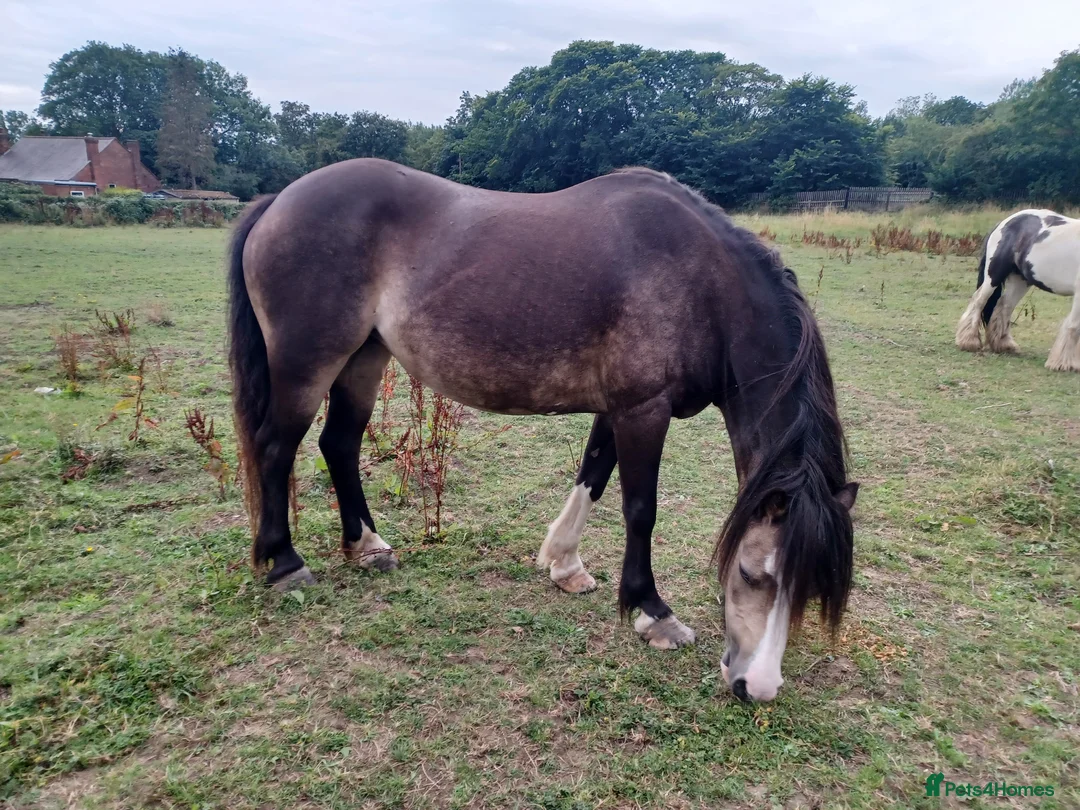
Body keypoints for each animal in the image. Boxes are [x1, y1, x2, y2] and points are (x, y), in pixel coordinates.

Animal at [227, 159, 859, 702]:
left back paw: (367, 546)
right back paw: (285, 564)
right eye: (751, 573)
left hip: (364, 357)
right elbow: (639, 509)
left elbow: (593, 477)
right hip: (308, 363)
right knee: (276, 448)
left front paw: (565, 564)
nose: (759, 688)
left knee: (339, 444)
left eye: (811, 590)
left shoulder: (619, 408)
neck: (702, 282)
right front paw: (652, 611)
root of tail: (279, 201)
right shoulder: (644, 409)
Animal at [955, 209, 1080, 371]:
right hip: (994, 275)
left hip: (1019, 281)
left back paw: (1004, 344)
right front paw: (1063, 364)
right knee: (979, 301)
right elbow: (1074, 325)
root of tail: (1004, 222)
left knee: (1004, 306)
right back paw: (968, 341)